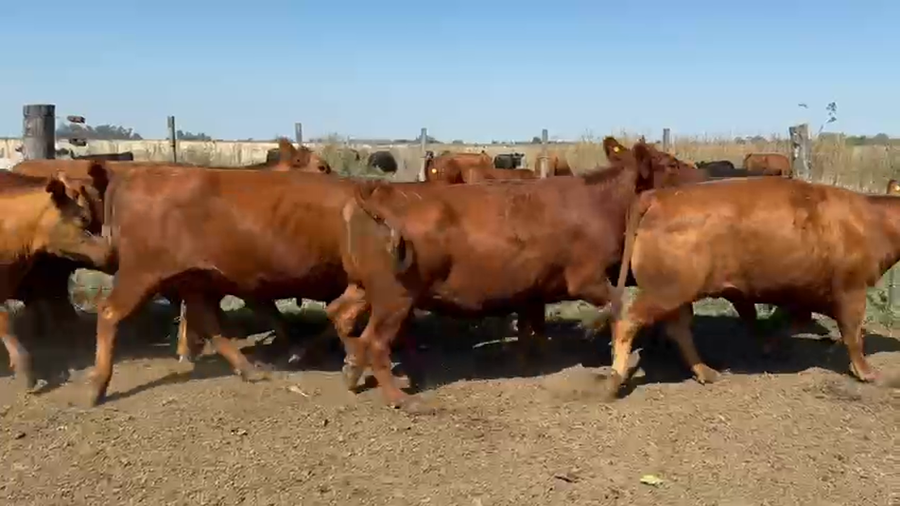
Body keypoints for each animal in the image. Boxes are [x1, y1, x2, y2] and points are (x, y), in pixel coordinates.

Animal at [336, 137, 701, 411]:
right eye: (670, 164)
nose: (700, 178)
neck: (600, 204)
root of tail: (378, 193)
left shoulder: (533, 288)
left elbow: (532, 327)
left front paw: (531, 361)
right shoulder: (587, 278)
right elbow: (618, 304)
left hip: (363, 287)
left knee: (342, 315)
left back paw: (352, 369)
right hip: (393, 298)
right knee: (375, 341)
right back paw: (400, 398)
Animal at [603, 176, 900, 400]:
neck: (873, 221)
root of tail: (658, 196)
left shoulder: (802, 292)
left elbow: (793, 322)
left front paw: (770, 345)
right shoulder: (852, 291)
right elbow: (853, 336)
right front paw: (866, 372)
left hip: (677, 294)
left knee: (678, 330)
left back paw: (705, 372)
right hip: (665, 291)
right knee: (627, 322)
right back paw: (614, 380)